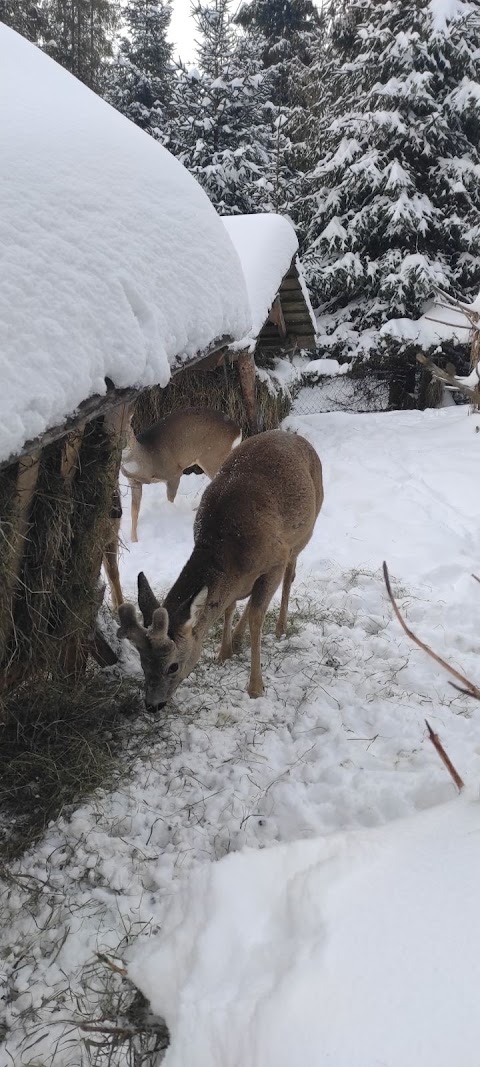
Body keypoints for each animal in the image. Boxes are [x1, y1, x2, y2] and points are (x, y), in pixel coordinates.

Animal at [117, 424, 324, 708]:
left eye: (173, 666)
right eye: (142, 662)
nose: (152, 705)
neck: (226, 548)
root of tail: (297, 437)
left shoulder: (276, 558)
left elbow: (257, 617)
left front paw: (255, 688)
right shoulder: (237, 578)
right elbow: (229, 607)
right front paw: (224, 652)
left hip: (305, 531)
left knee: (290, 576)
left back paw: (281, 628)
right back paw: (237, 638)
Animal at [120, 405, 240, 546]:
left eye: (128, 423)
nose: (122, 442)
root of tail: (238, 431)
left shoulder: (174, 473)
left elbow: (169, 499)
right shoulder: (133, 481)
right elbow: (134, 511)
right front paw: (134, 540)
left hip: (212, 457)